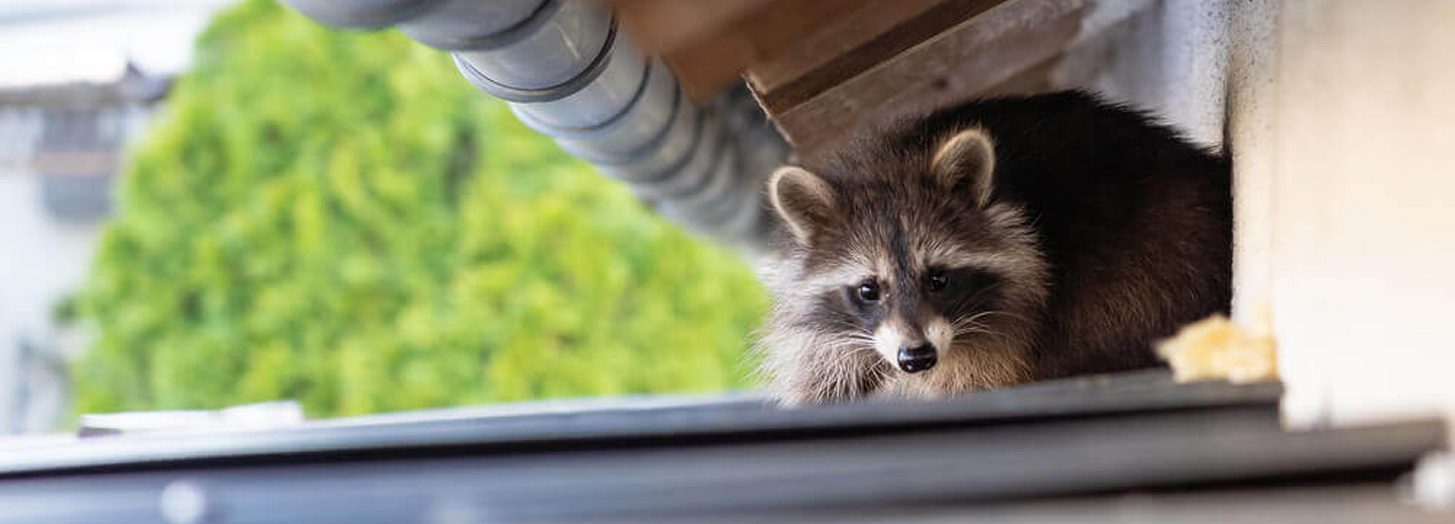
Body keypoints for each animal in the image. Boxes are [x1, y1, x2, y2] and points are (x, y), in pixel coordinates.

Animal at [757, 91, 1231, 405]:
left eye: (939, 279)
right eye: (869, 289)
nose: (916, 357)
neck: (891, 163)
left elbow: (980, 371)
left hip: (1159, 253)